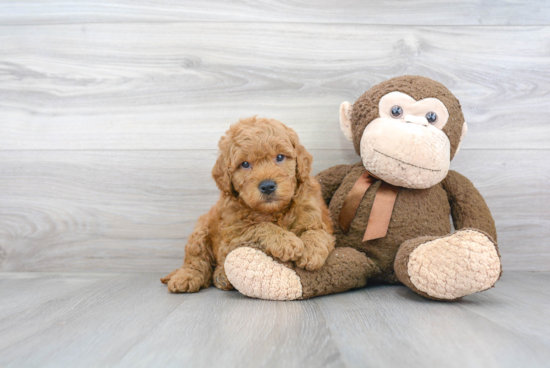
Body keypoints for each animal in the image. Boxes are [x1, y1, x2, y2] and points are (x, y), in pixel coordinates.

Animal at [162, 116, 336, 294]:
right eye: (245, 164)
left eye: (280, 157)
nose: (267, 186)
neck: (274, 211)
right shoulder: (234, 233)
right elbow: (259, 226)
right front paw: (287, 242)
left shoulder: (314, 214)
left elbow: (317, 232)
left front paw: (311, 252)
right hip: (200, 231)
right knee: (196, 260)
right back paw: (189, 278)